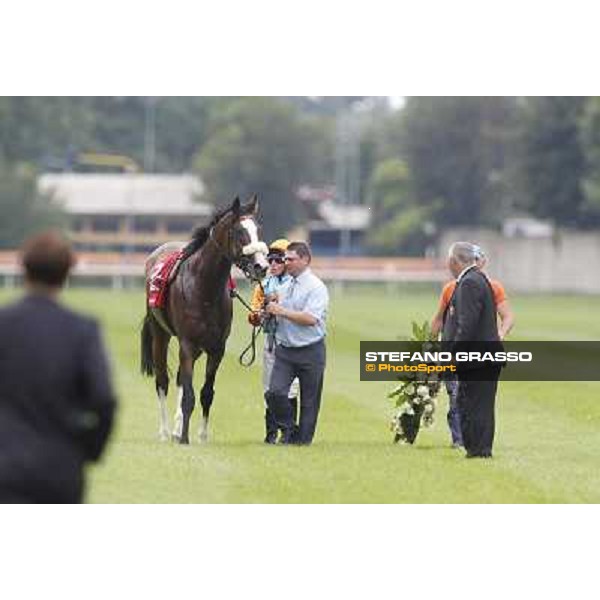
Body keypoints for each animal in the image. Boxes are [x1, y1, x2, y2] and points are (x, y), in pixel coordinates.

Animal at [141, 195, 268, 442]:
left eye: (258, 229)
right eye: (239, 232)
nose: (261, 266)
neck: (204, 288)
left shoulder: (216, 348)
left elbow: (206, 393)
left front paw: (200, 435)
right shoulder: (188, 344)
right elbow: (189, 395)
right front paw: (184, 439)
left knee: (180, 379)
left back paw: (176, 428)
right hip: (160, 335)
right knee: (162, 381)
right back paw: (164, 431)